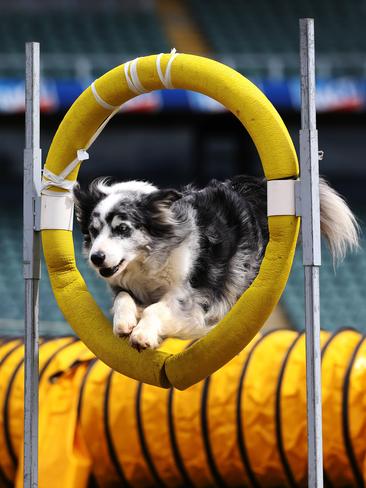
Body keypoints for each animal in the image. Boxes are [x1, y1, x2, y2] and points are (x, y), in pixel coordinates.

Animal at [73, 175, 358, 350]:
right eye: (94, 231)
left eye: (122, 229)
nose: (96, 258)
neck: (147, 263)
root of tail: (244, 187)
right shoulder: (126, 285)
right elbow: (123, 297)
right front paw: (124, 322)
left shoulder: (191, 298)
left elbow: (157, 309)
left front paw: (143, 334)